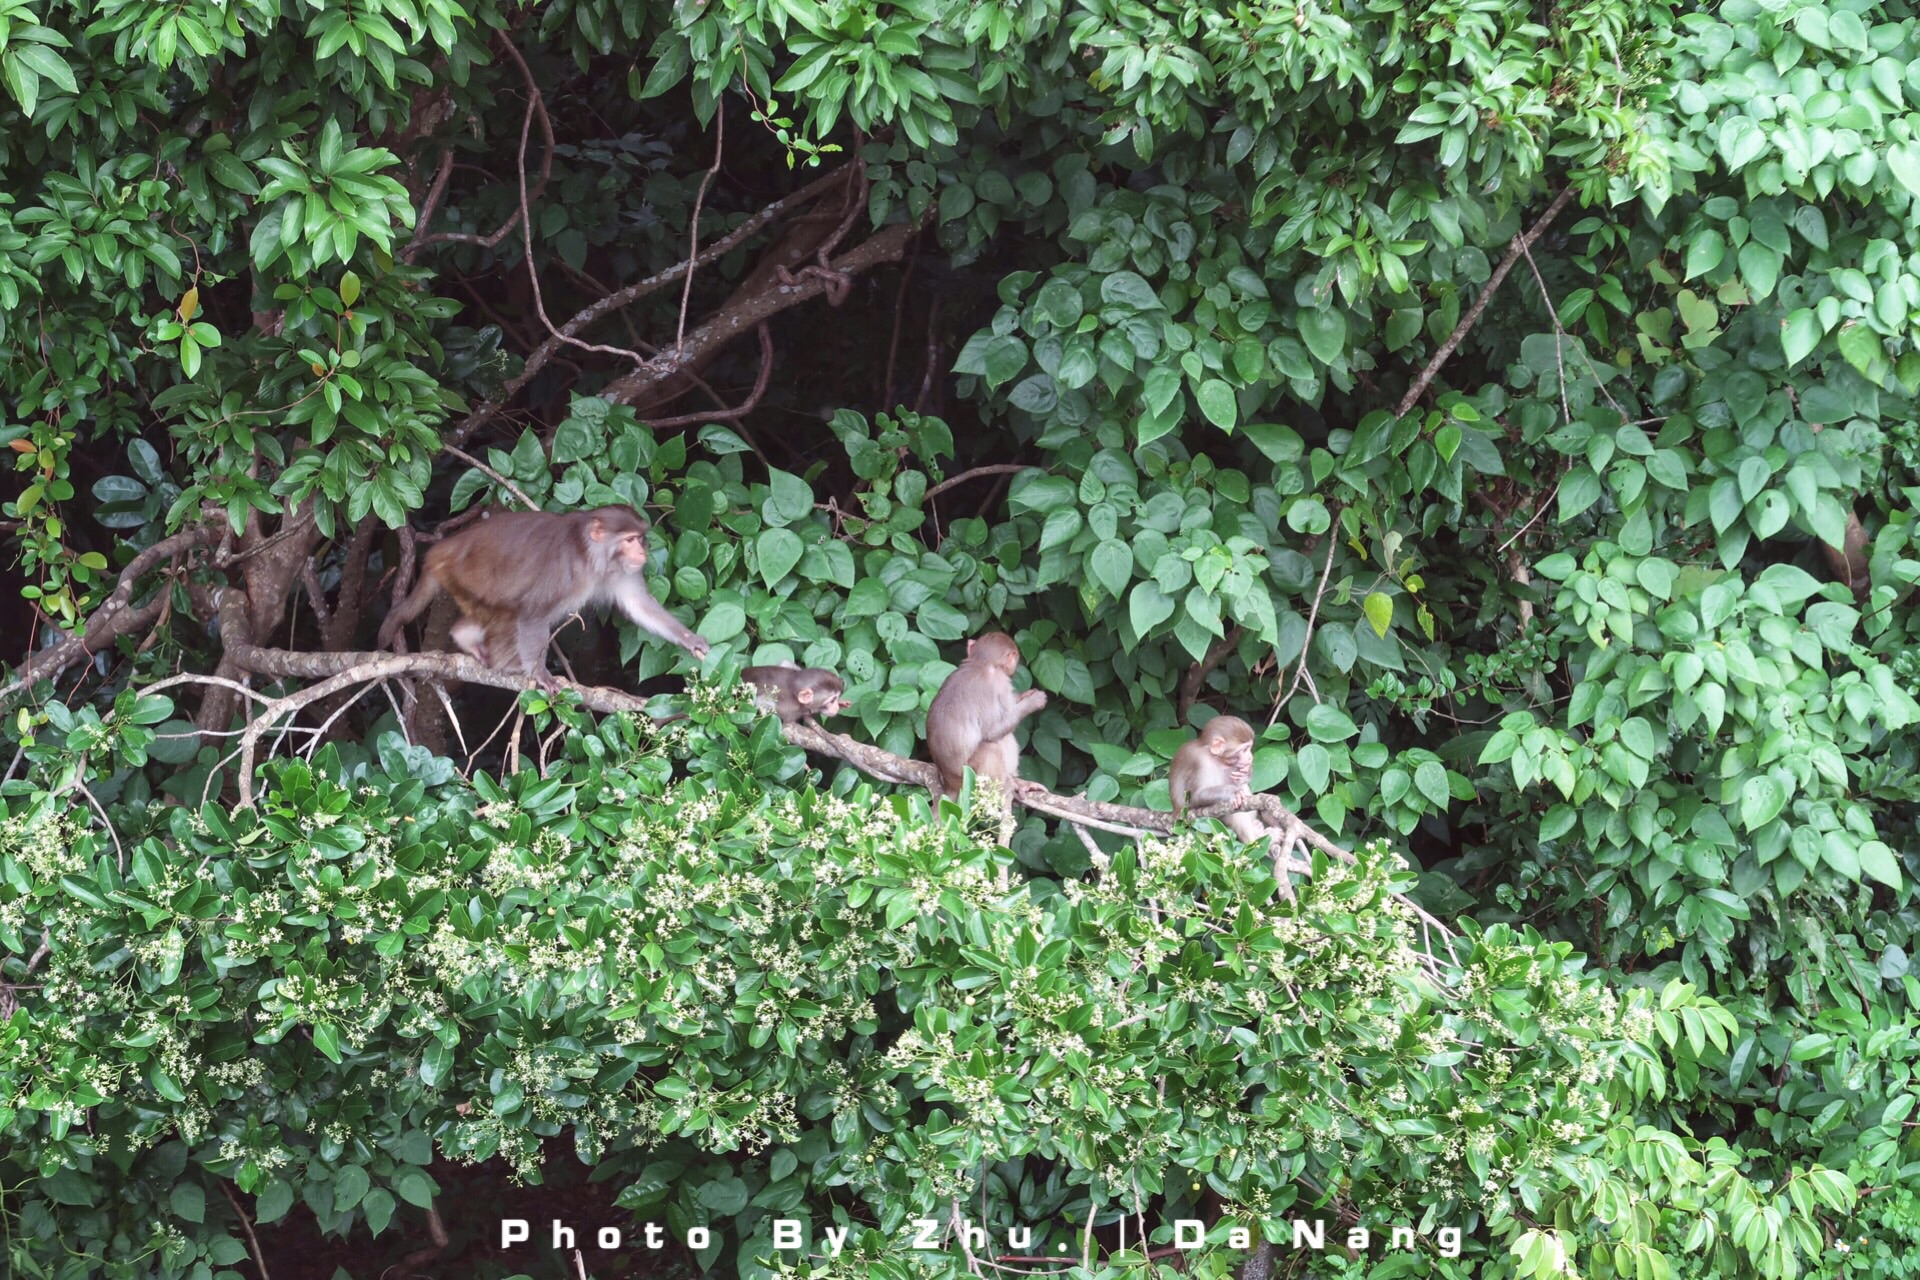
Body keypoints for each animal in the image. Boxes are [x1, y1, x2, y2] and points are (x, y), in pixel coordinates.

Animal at [378, 502, 710, 690]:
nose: (642, 552)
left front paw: (690, 639)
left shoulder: (619, 572)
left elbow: (639, 606)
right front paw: (539, 673)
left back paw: (465, 635)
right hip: (464, 577)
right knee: (509, 613)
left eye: (640, 539)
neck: (591, 557)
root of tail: (442, 549)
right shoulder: (564, 571)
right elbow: (533, 615)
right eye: (629, 540)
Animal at [921, 633, 1044, 802]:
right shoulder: (1000, 683)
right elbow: (992, 731)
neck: (981, 663)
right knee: (991, 747)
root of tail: (950, 783)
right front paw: (1034, 702)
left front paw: (1024, 696)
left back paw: (1017, 782)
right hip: (967, 773)